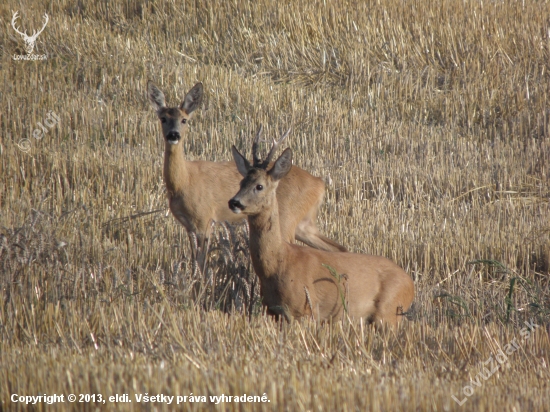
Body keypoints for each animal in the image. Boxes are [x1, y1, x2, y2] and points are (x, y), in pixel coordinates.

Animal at [149, 82, 348, 272]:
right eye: (163, 118)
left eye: (184, 120)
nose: (173, 135)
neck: (183, 182)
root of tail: (319, 184)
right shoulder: (189, 226)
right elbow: (195, 263)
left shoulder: (204, 220)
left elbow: (201, 264)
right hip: (304, 224)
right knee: (338, 247)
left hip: (288, 219)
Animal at [229, 129, 414, 326]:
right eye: (241, 183)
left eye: (259, 186)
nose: (234, 202)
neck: (279, 261)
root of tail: (410, 283)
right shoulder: (275, 313)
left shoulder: (305, 310)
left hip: (388, 313)